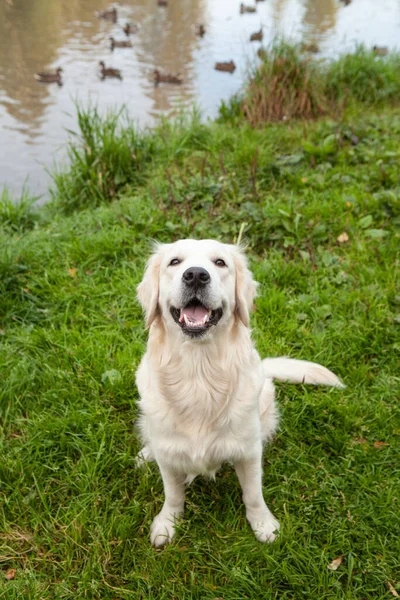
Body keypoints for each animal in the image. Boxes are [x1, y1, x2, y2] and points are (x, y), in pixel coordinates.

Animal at [136, 237, 342, 548]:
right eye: (175, 262)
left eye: (220, 262)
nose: (196, 275)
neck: (199, 374)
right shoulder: (170, 459)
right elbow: (173, 494)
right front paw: (167, 524)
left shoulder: (248, 452)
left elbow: (253, 493)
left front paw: (264, 525)